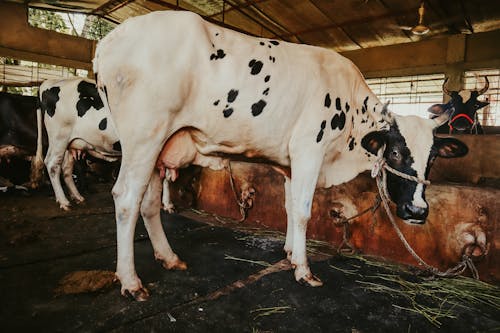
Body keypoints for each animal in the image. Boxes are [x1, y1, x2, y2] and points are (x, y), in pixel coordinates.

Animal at [93, 11, 468, 300]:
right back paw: (131, 281)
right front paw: (303, 269)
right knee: (126, 199)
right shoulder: (308, 150)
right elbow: (303, 212)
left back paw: (168, 257)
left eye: (433, 158)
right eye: (396, 152)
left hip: (160, 148)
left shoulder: (290, 164)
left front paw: (289, 252)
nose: (418, 211)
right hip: (145, 136)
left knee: (148, 204)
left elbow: (289, 207)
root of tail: (111, 40)